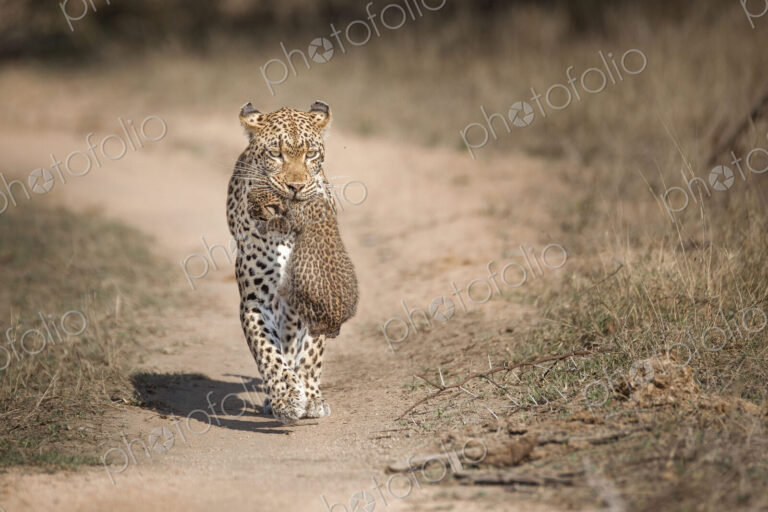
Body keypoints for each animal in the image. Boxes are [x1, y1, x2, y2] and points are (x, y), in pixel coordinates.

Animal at [226, 100, 343, 424]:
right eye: (275, 154)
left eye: (310, 154)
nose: (295, 187)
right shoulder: (255, 300)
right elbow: (267, 351)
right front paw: (287, 397)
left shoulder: (317, 293)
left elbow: (312, 352)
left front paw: (311, 396)